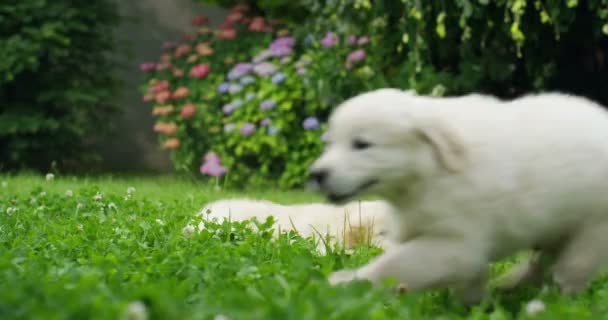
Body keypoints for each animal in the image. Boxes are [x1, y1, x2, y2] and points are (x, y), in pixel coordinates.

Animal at [312, 89, 608, 304]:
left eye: (362, 144)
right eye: (330, 143)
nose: (317, 174)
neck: (428, 171)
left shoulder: (456, 245)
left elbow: (394, 264)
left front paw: (345, 283)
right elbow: (470, 279)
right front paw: (473, 305)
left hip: (593, 229)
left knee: (571, 270)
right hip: (555, 228)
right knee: (541, 264)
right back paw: (510, 285)